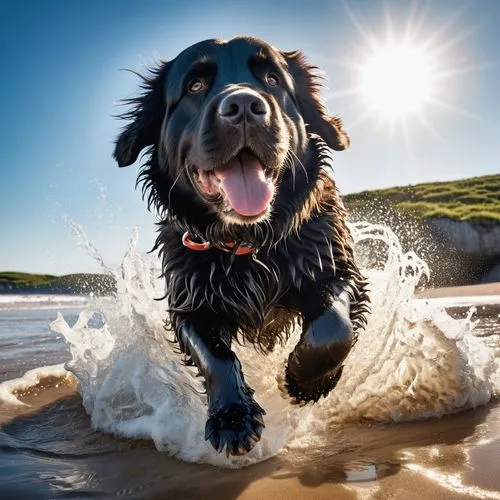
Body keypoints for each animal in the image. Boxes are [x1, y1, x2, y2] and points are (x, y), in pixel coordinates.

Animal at [115, 36, 370, 458]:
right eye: (195, 85)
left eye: (272, 79)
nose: (245, 107)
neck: (249, 242)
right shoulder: (190, 302)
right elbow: (215, 356)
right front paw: (233, 417)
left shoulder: (336, 269)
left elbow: (334, 328)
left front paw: (305, 380)